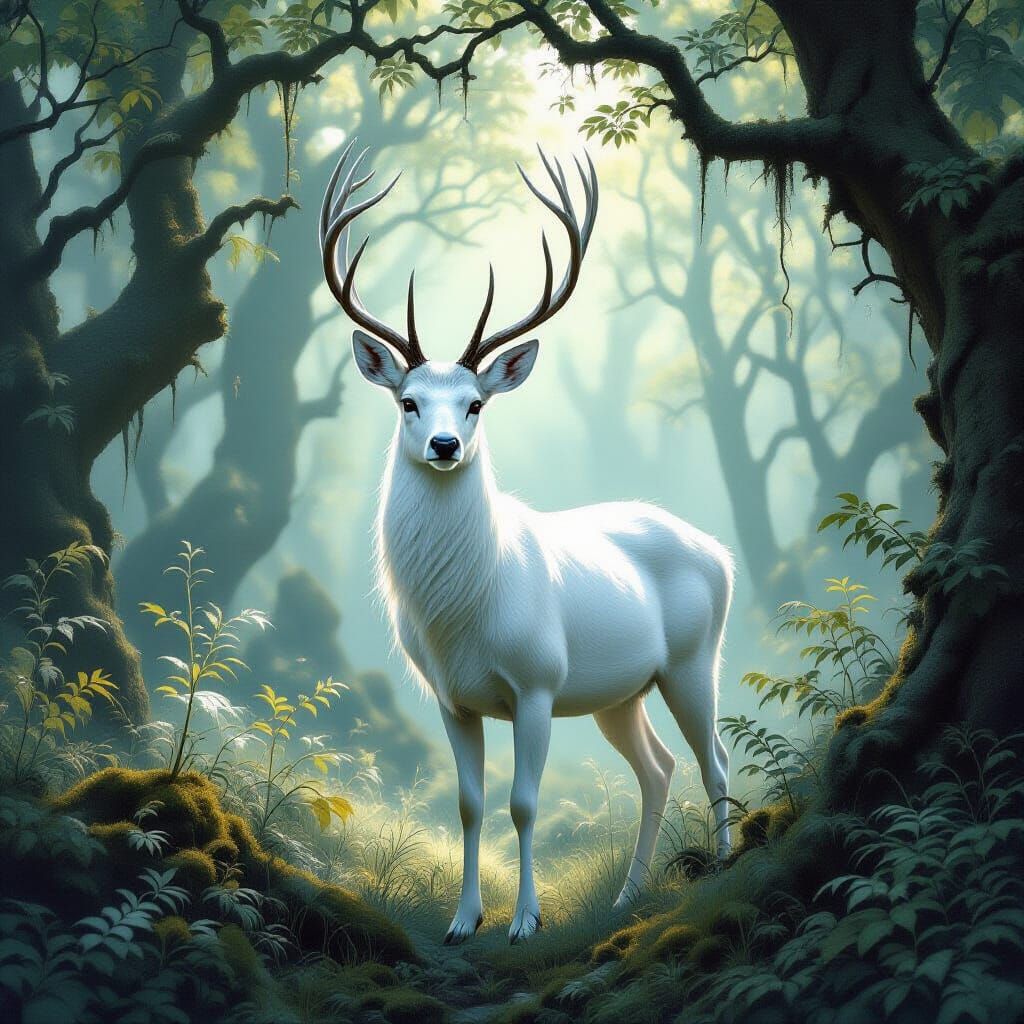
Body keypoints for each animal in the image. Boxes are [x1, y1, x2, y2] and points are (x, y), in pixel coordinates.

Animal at [320, 139, 734, 945]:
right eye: (408, 401)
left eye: (475, 403)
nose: (445, 444)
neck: (464, 615)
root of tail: (720, 552)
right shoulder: (451, 698)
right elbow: (469, 804)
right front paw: (462, 921)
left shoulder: (539, 682)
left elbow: (524, 802)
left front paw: (524, 922)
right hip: (619, 693)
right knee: (659, 767)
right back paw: (625, 899)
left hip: (694, 660)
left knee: (717, 760)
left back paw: (725, 870)